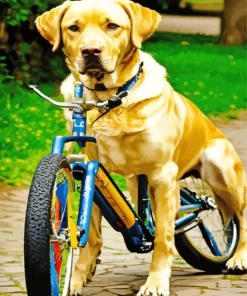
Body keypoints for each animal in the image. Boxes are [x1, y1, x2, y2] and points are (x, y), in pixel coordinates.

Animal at [35, 0, 247, 296]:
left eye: (112, 25)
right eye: (73, 27)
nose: (91, 51)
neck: (110, 101)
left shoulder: (163, 175)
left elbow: (163, 239)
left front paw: (156, 282)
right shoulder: (89, 168)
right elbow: (90, 237)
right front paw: (76, 279)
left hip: (220, 172)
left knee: (233, 215)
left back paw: (238, 257)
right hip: (140, 182)